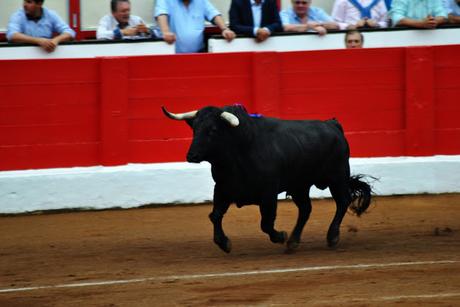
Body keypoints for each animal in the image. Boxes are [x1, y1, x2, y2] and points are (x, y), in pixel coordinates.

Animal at [164, 104, 372, 254]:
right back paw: (293, 242)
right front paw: (224, 243)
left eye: (213, 130)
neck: (240, 150)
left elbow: (266, 223)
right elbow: (214, 215)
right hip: (300, 186)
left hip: (337, 177)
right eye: (194, 129)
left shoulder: (268, 193)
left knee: (343, 201)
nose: (191, 155)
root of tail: (332, 124)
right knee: (306, 209)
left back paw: (332, 237)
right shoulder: (222, 189)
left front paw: (280, 236)